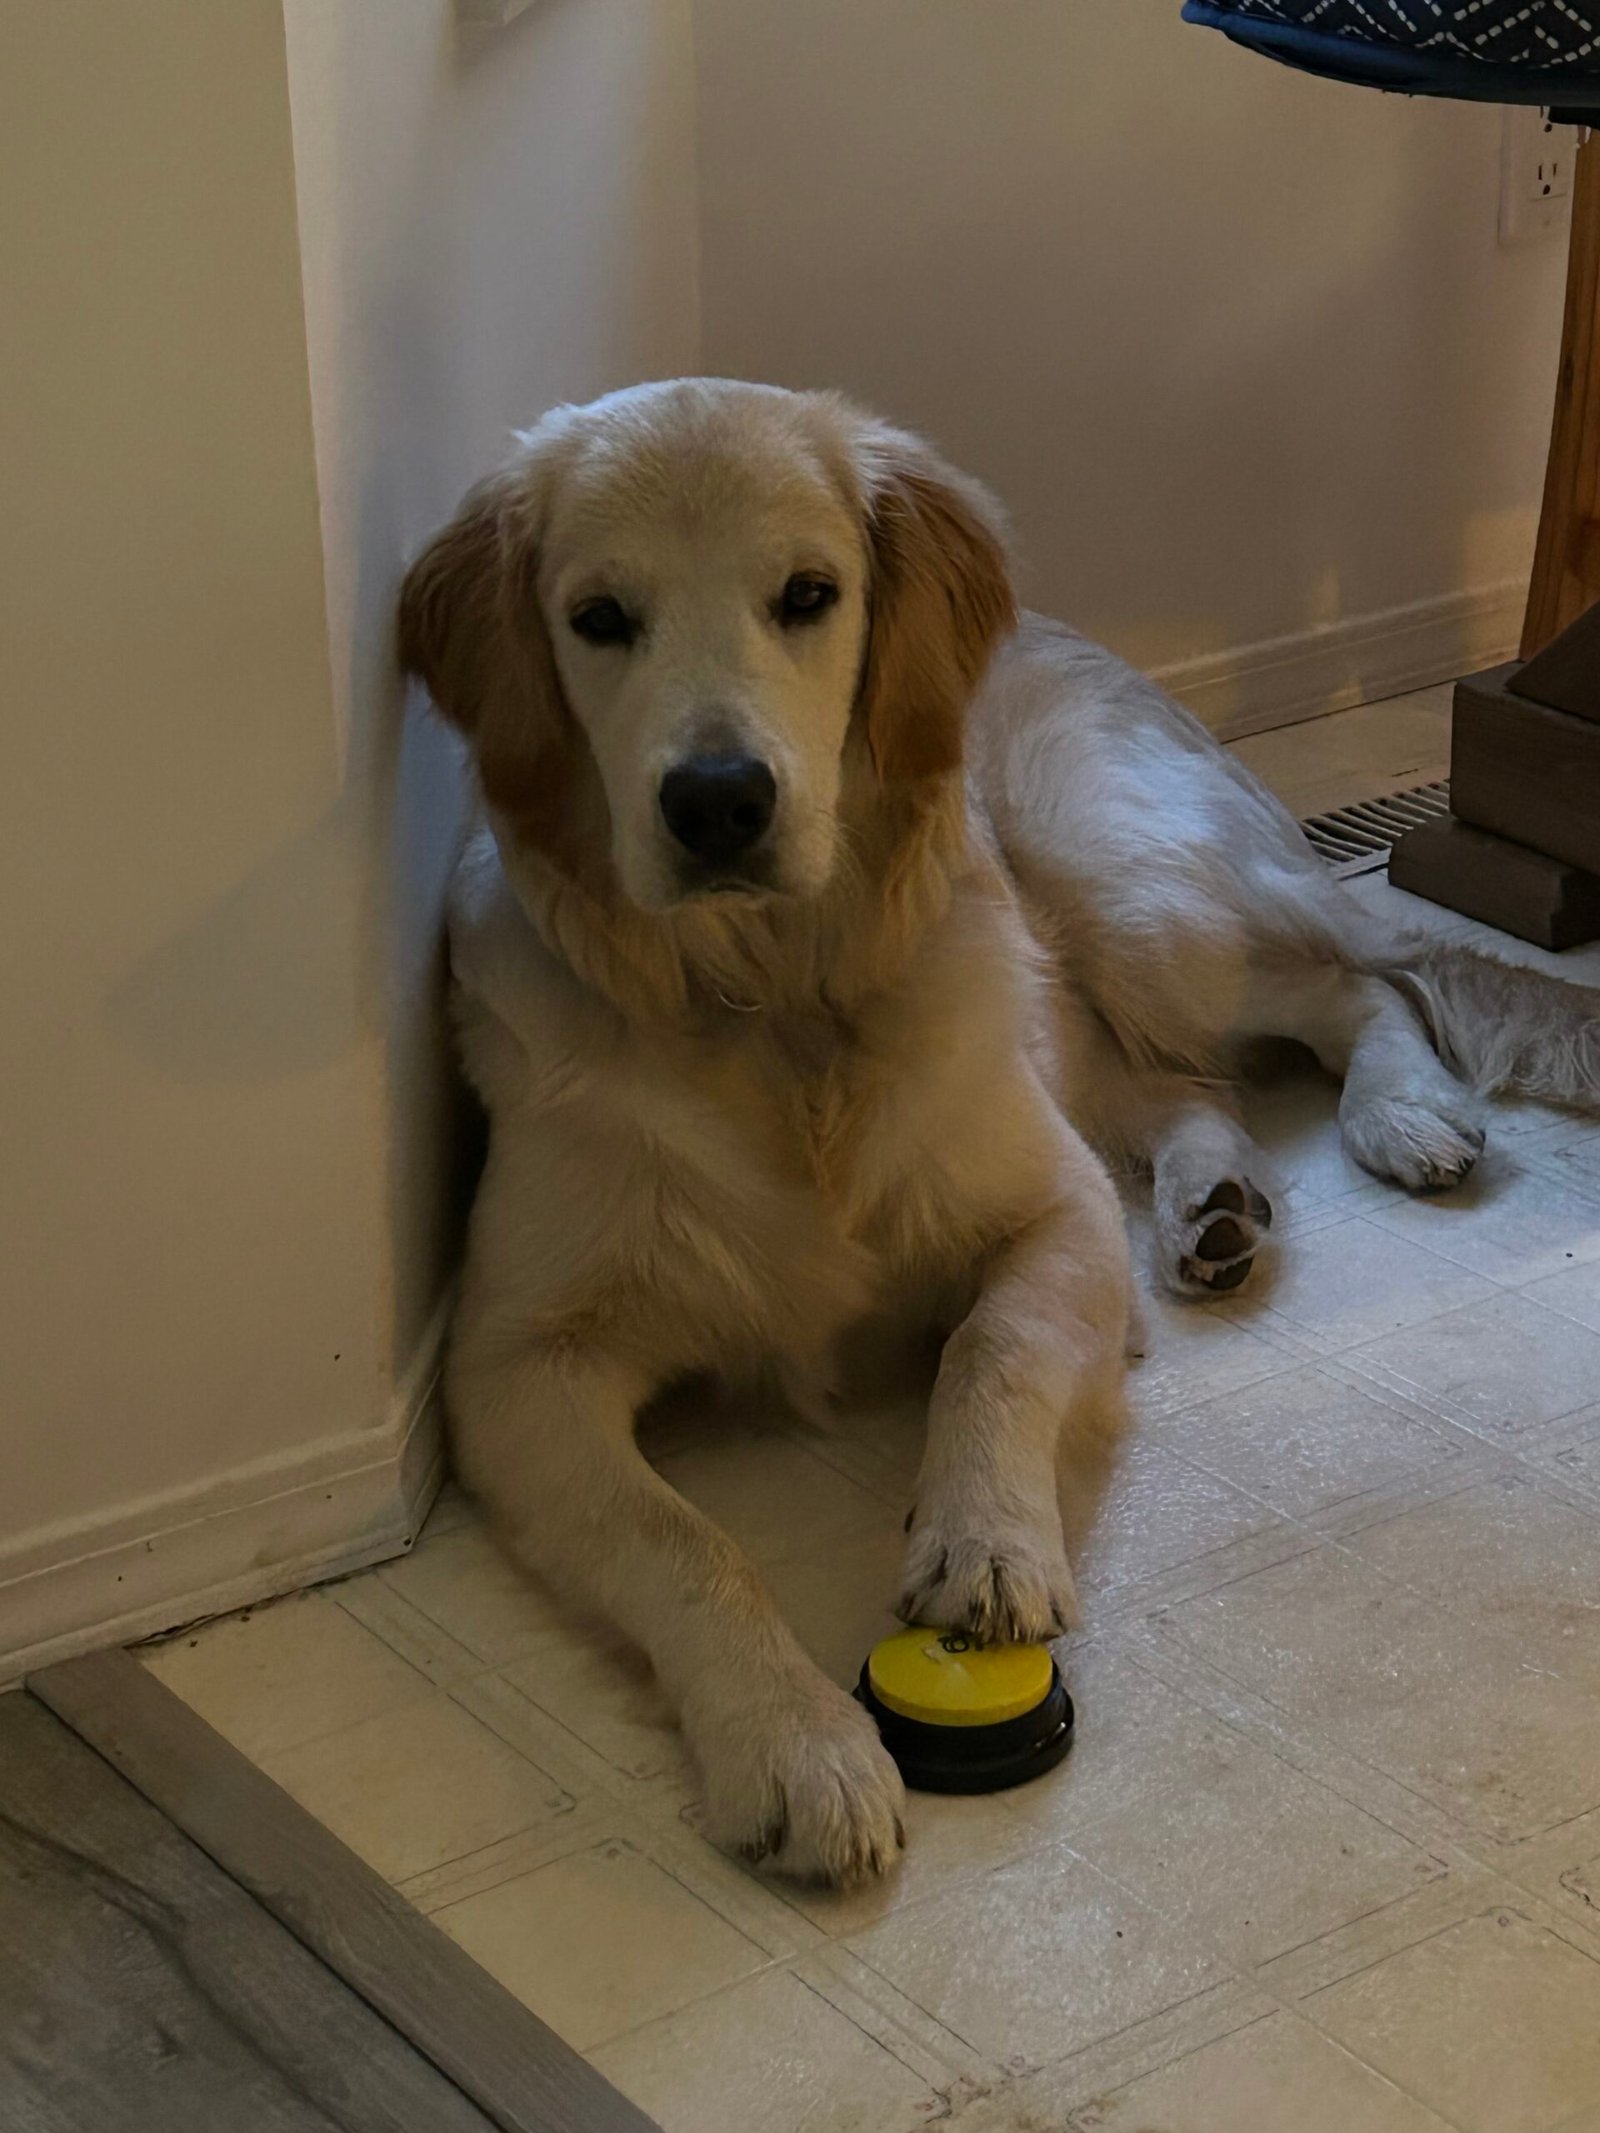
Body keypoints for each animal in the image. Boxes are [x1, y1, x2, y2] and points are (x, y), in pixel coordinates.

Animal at [400, 378, 1600, 1886]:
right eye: (599, 616)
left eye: (809, 594)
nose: (720, 799)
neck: (773, 1006)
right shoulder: (515, 1366)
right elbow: (675, 1537)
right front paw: (793, 1747)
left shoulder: (1049, 1212)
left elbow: (996, 1348)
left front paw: (984, 1544)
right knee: (1184, 1092)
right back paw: (1213, 1209)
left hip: (1134, 899)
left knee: (1357, 983)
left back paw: (1405, 1114)